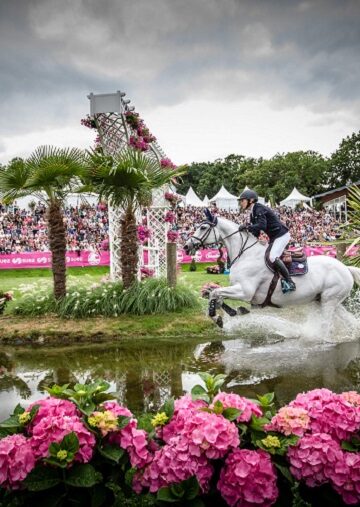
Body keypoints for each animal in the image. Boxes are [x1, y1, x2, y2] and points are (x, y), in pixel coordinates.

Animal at [184, 211, 360, 338]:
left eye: (203, 228)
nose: (186, 246)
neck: (245, 254)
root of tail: (346, 268)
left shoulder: (245, 291)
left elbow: (215, 292)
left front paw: (218, 317)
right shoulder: (239, 290)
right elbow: (215, 295)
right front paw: (231, 313)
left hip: (329, 301)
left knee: (325, 327)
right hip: (327, 301)